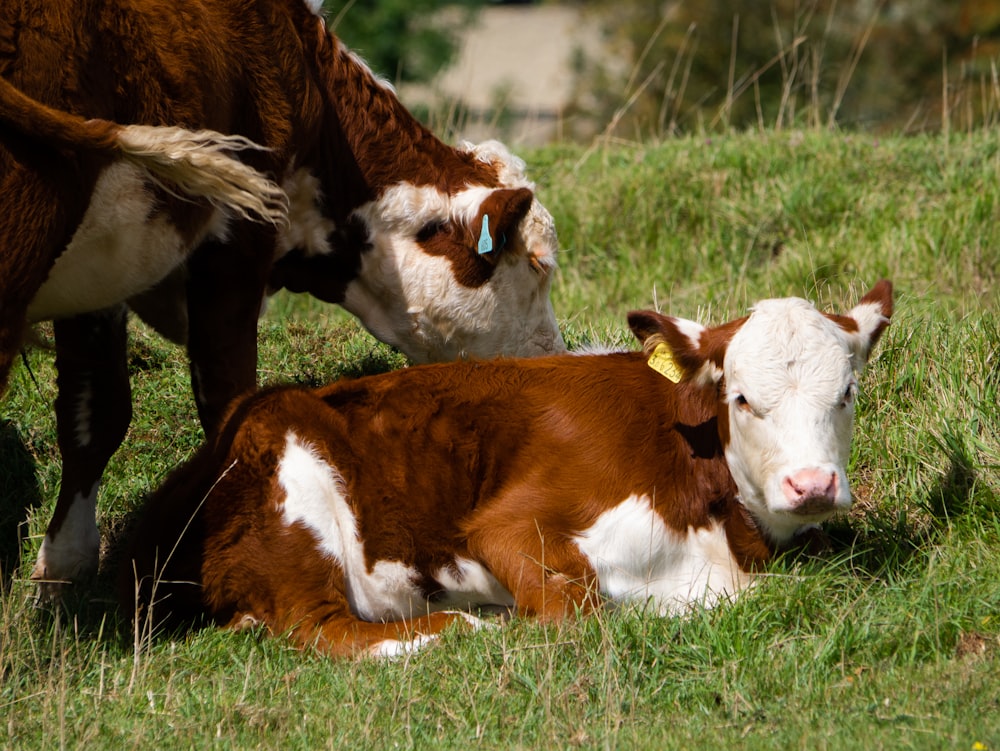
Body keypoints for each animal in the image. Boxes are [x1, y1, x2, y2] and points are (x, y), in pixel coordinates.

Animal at [0, 0, 564, 588]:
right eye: (539, 265)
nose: (557, 358)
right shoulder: (236, 243)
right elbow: (230, 407)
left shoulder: (104, 274)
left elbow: (96, 413)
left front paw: (64, 570)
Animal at [121, 280, 896, 656]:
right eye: (741, 397)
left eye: (847, 391)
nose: (811, 485)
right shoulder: (509, 523)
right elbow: (573, 609)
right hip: (297, 486)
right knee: (325, 628)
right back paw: (462, 627)